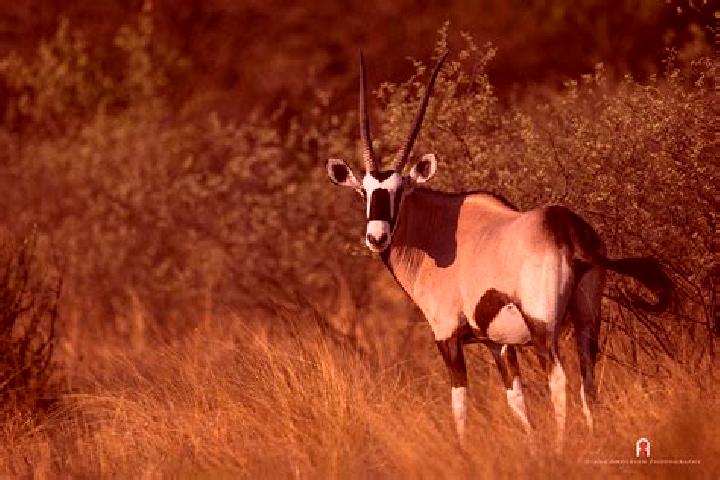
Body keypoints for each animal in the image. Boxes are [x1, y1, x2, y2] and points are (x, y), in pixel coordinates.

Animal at [325, 52, 672, 446]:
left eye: (399, 191)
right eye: (363, 192)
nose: (377, 237)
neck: (438, 230)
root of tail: (566, 228)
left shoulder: (447, 336)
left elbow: (460, 403)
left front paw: (463, 451)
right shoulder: (499, 344)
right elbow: (517, 401)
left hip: (543, 326)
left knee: (559, 380)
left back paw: (560, 446)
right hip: (587, 319)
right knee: (588, 383)